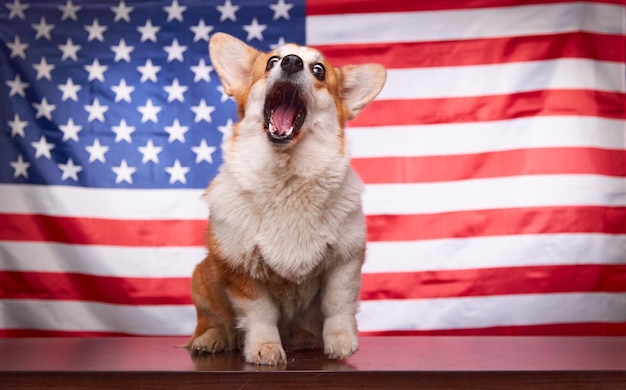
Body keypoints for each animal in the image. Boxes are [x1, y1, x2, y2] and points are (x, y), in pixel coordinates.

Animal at [183, 33, 382, 366]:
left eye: (319, 71)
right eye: (271, 62)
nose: (291, 62)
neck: (287, 176)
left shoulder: (345, 260)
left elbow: (337, 303)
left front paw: (341, 342)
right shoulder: (240, 270)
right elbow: (261, 313)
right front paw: (264, 347)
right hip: (203, 275)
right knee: (214, 321)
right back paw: (211, 340)